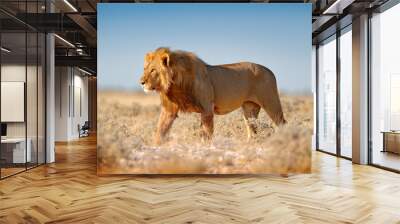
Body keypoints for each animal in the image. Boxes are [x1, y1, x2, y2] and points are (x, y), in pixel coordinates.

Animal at [139, 48, 286, 144]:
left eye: (153, 70)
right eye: (145, 69)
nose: (141, 82)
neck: (174, 84)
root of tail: (270, 70)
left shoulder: (207, 109)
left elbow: (206, 133)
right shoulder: (169, 110)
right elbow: (160, 130)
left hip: (271, 103)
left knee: (282, 123)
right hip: (249, 108)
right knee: (252, 128)